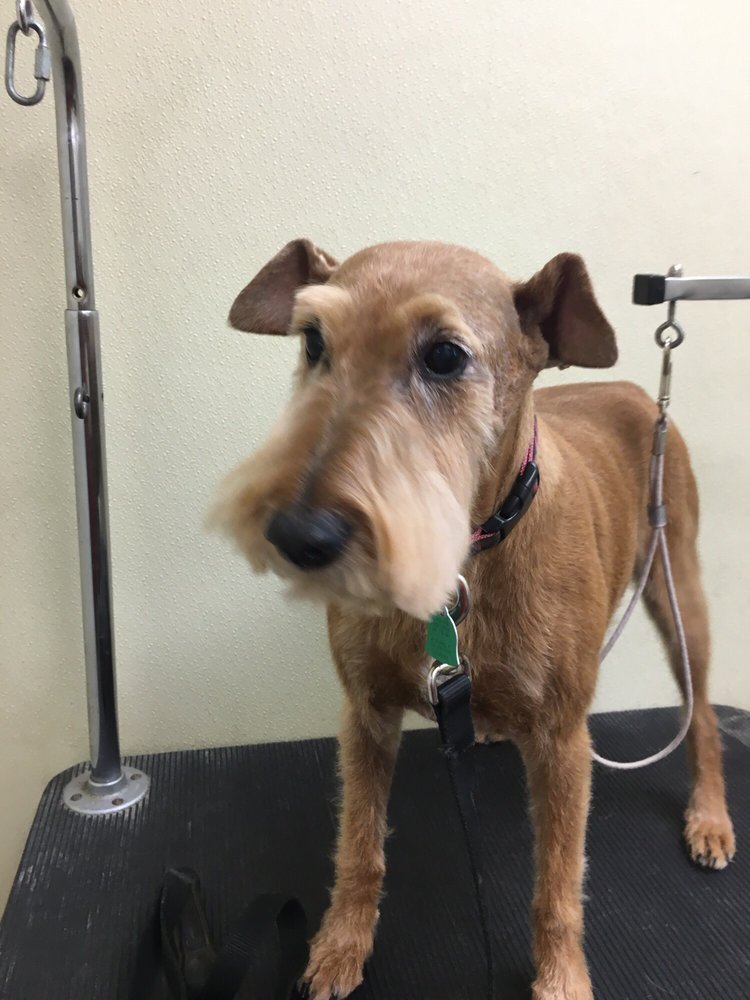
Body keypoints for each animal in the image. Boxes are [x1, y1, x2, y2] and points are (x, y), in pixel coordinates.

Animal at [212, 239, 735, 999]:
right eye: (313, 341)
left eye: (443, 356)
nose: (297, 534)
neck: (467, 563)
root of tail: (640, 393)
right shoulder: (364, 713)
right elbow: (359, 846)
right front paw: (340, 945)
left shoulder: (563, 740)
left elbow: (557, 884)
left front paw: (561, 979)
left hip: (679, 589)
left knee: (702, 719)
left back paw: (711, 816)